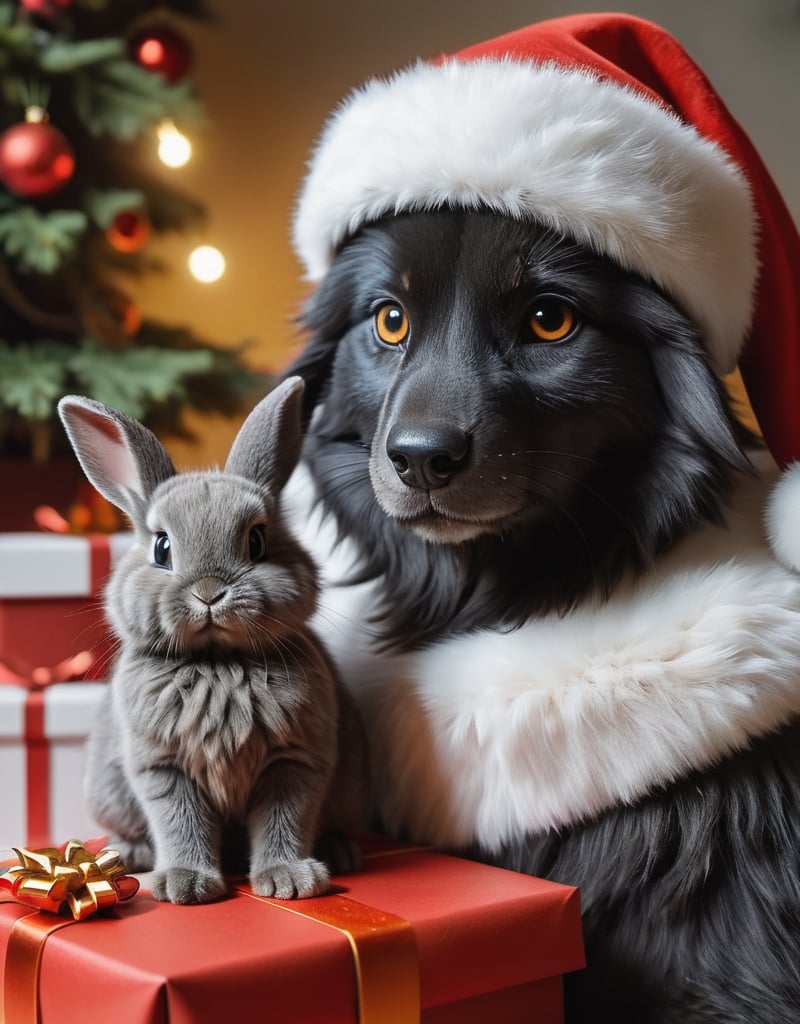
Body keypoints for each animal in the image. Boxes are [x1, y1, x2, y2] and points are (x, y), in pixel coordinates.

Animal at [57, 378, 370, 905]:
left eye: (258, 541)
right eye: (161, 547)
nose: (209, 592)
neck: (218, 663)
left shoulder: (295, 762)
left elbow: (284, 820)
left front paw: (290, 881)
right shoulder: (164, 769)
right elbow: (181, 823)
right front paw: (184, 885)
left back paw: (342, 852)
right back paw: (129, 855)